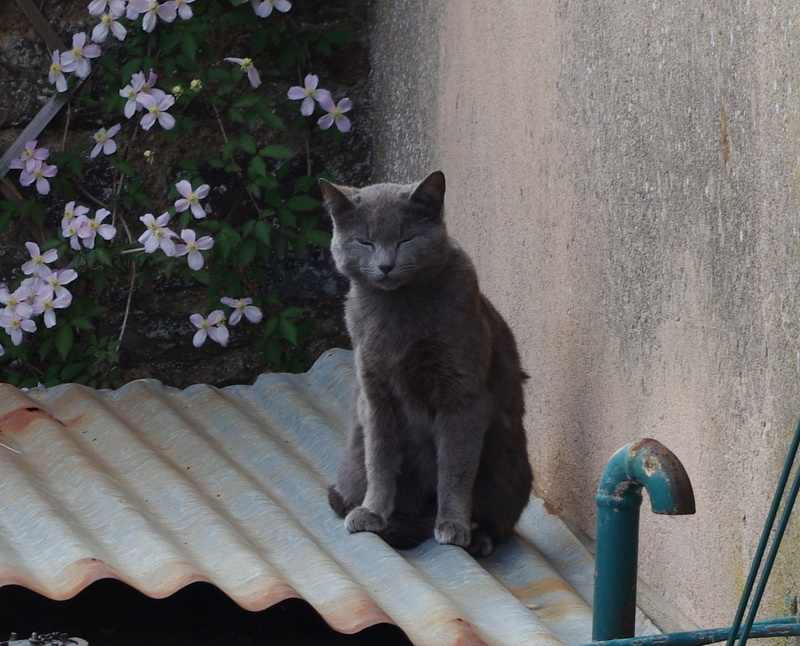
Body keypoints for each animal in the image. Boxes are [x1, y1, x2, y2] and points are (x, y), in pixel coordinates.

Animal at [318, 171, 532, 556]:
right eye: (364, 241)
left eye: (407, 238)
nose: (386, 265)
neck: (398, 309)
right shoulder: (375, 393)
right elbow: (380, 458)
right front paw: (372, 512)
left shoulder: (463, 394)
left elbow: (456, 467)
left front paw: (452, 525)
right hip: (353, 460)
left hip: (506, 462)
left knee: (499, 521)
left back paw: (477, 537)